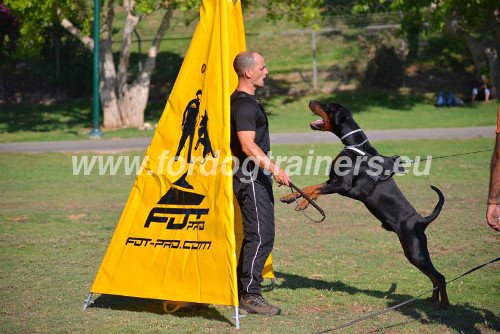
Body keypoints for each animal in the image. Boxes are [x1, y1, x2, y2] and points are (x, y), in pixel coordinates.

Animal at [282, 100, 450, 308]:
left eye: (328, 106)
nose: (311, 101)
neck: (354, 144)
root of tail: (422, 220)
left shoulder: (342, 185)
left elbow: (315, 189)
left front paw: (300, 203)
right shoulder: (332, 180)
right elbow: (309, 188)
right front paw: (292, 198)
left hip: (416, 250)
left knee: (440, 276)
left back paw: (444, 304)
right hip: (410, 252)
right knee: (433, 276)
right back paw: (432, 299)